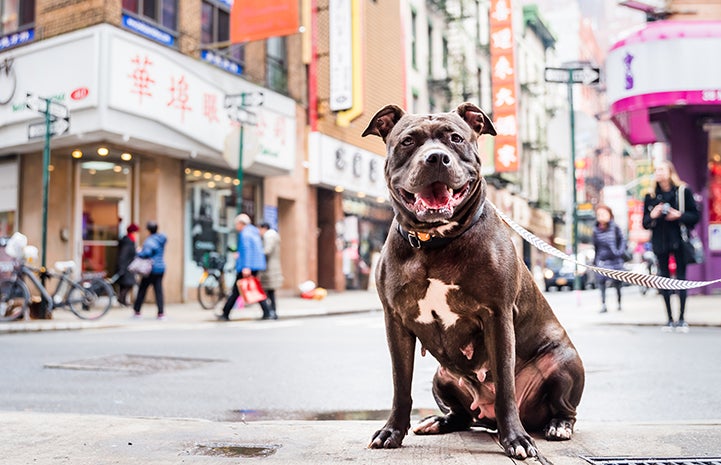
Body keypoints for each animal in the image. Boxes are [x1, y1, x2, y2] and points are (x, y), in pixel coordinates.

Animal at [360, 103, 584, 458]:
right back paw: (439, 421)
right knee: (462, 416)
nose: (437, 158)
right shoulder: (395, 321)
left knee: (564, 407)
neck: (435, 243)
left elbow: (505, 385)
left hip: (565, 361)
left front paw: (516, 440)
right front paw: (392, 431)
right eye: (408, 141)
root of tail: (488, 419)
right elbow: (400, 384)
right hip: (442, 377)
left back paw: (557, 425)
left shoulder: (498, 316)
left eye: (455, 138)